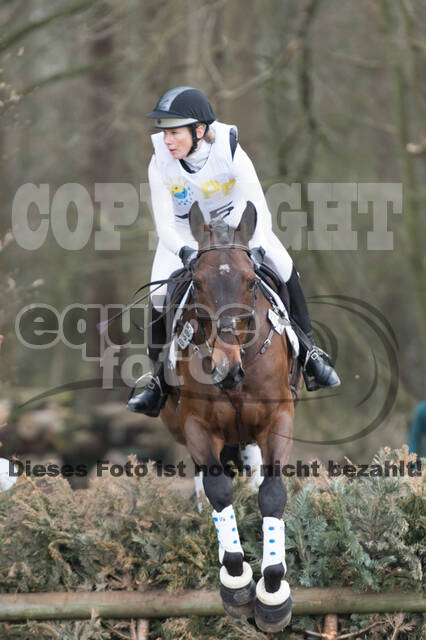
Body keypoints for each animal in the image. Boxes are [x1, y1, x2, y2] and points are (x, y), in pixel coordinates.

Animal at [161, 202, 302, 632]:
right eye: (198, 282)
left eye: (250, 281)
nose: (226, 368)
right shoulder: (197, 427)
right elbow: (219, 490)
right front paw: (235, 576)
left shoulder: (278, 419)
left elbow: (272, 493)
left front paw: (272, 590)